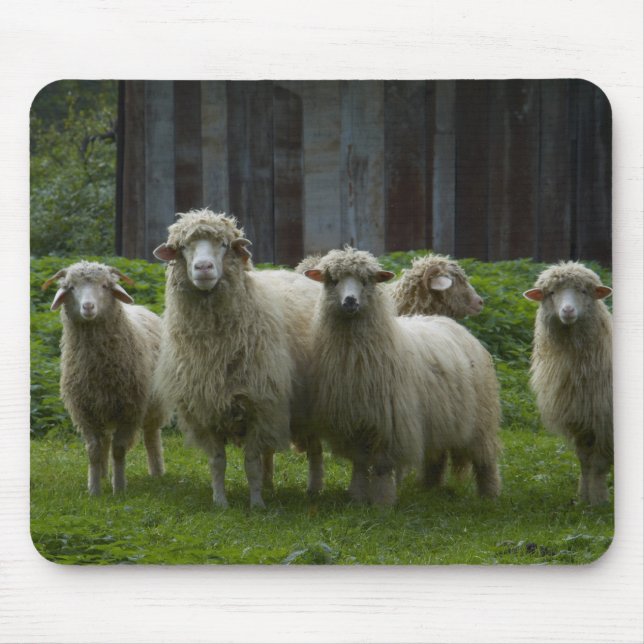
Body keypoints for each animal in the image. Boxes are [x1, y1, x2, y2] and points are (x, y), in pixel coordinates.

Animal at [43, 261, 166, 495]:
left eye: (105, 286)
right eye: (71, 287)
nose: (88, 307)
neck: (98, 368)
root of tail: (142, 308)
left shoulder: (129, 410)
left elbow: (119, 450)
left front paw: (119, 489)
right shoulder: (85, 411)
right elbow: (93, 450)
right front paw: (94, 490)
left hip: (153, 407)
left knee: (151, 436)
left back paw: (157, 472)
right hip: (103, 407)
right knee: (105, 441)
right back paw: (102, 473)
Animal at [152, 209, 293, 508]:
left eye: (225, 245)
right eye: (183, 247)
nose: (203, 268)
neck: (215, 347)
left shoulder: (258, 405)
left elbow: (251, 463)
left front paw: (257, 503)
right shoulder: (205, 407)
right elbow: (217, 462)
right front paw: (220, 502)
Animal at [304, 247, 502, 506]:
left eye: (367, 281)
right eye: (333, 280)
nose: (350, 301)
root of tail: (447, 322)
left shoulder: (392, 424)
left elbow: (383, 466)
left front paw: (384, 501)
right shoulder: (354, 419)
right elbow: (359, 464)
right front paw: (357, 497)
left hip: (480, 419)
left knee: (485, 459)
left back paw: (490, 494)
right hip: (439, 417)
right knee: (437, 455)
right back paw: (430, 486)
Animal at [523, 261, 613, 505]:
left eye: (584, 291)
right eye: (551, 293)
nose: (568, 311)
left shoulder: (605, 420)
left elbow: (599, 463)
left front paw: (599, 500)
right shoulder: (581, 417)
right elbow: (585, 460)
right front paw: (583, 497)